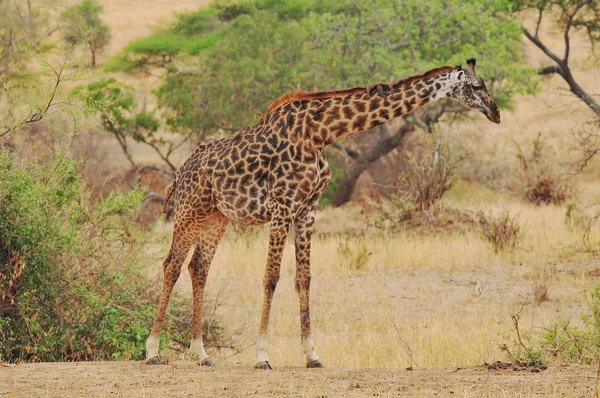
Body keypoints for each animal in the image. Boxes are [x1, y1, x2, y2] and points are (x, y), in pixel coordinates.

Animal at [145, 56, 502, 370]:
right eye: (477, 85)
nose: (496, 112)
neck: (322, 132)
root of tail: (182, 169)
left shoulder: (307, 209)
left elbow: (304, 278)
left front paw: (312, 355)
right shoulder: (282, 206)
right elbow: (271, 277)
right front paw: (262, 356)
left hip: (216, 217)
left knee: (198, 267)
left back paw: (201, 354)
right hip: (190, 211)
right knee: (171, 265)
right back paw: (152, 351)